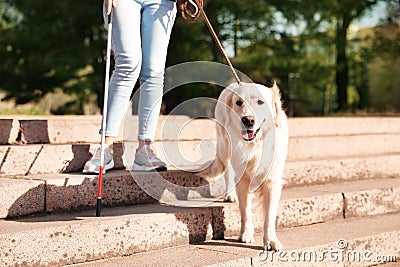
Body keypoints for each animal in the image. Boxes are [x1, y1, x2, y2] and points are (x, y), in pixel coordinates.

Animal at [198, 81, 288, 251]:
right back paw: (230, 195)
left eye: (260, 102)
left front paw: (271, 240)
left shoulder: (272, 181)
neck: (255, 145)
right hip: (225, 147)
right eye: (239, 102)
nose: (248, 120)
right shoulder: (243, 179)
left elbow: (269, 215)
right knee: (227, 172)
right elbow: (245, 209)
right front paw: (246, 234)